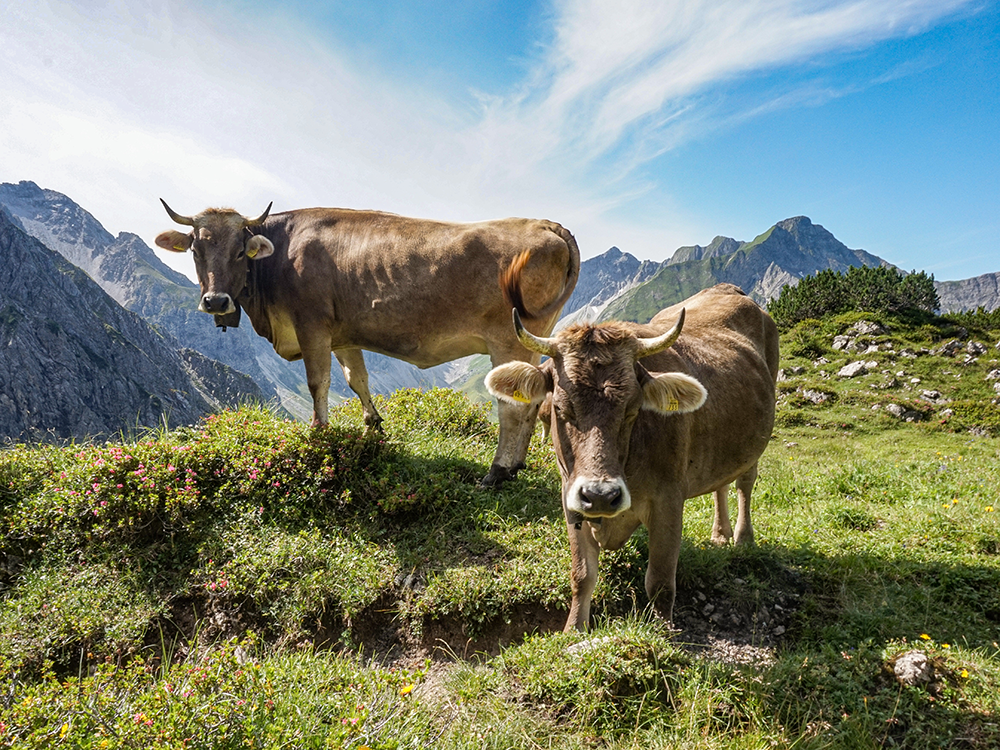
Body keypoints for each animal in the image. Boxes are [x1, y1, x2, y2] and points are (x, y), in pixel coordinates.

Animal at [154, 204, 580, 488]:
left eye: (240, 251)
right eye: (195, 250)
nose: (216, 301)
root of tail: (547, 224)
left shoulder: (312, 325)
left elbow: (319, 382)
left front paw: (319, 433)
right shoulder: (343, 334)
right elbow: (355, 378)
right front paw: (373, 426)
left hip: (508, 339)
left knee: (513, 408)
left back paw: (497, 471)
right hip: (532, 338)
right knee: (532, 400)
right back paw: (515, 465)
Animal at [484, 280, 780, 628]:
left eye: (633, 409)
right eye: (560, 408)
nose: (600, 495)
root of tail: (728, 289)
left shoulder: (669, 499)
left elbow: (661, 580)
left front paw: (663, 631)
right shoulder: (569, 494)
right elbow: (582, 574)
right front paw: (573, 629)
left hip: (756, 440)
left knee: (745, 482)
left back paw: (742, 539)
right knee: (720, 483)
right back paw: (720, 534)